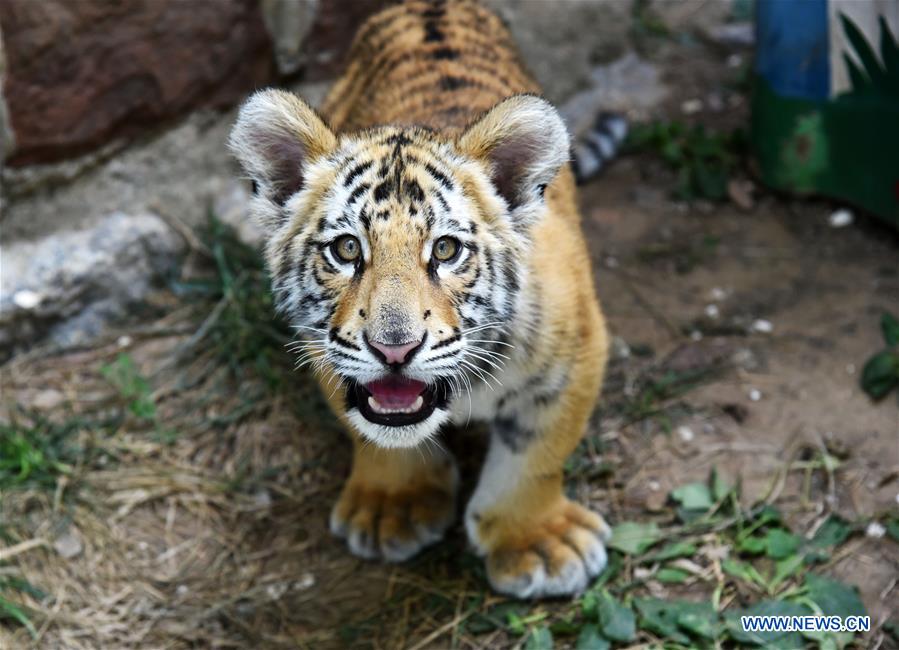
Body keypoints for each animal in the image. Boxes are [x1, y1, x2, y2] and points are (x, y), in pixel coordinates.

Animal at [229, 0, 612, 598]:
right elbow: (372, 430)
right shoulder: (326, 351)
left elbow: (537, 454)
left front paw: (540, 544)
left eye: (446, 250)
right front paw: (392, 508)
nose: (394, 349)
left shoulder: (578, 355)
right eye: (346, 249)